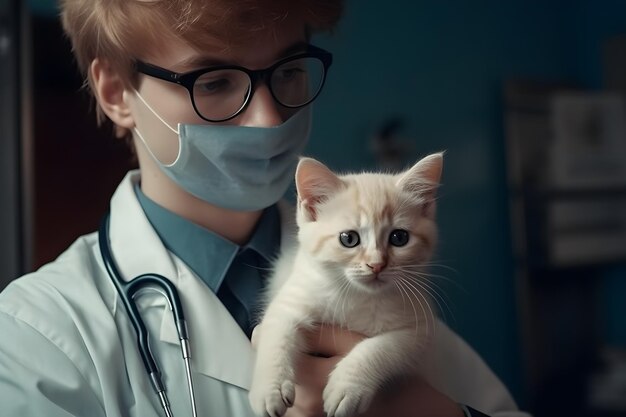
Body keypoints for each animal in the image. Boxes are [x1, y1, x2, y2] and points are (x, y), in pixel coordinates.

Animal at [246, 152, 442, 416]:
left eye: (399, 238)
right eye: (349, 239)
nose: (376, 264)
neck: (357, 296)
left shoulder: (418, 330)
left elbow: (381, 348)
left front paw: (347, 387)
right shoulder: (292, 300)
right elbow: (277, 336)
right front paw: (269, 389)